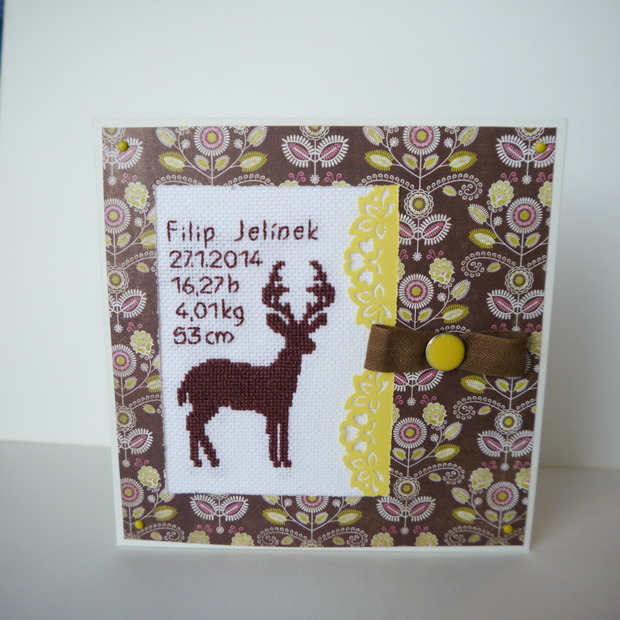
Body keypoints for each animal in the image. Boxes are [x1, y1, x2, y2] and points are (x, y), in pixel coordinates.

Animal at [177, 260, 335, 468]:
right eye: (290, 335)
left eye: (307, 332)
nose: (311, 345)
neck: (280, 374)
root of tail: (187, 378)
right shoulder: (274, 405)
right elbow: (276, 432)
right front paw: (278, 461)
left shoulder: (283, 407)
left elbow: (282, 431)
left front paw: (282, 461)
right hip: (206, 400)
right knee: (192, 422)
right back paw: (208, 459)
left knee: (194, 423)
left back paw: (204, 460)